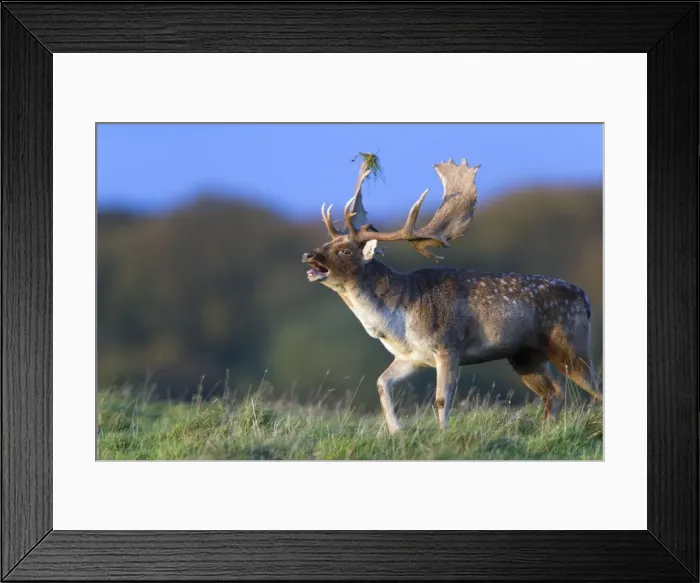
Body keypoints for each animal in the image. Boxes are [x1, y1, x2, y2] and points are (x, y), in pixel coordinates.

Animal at [301, 154, 602, 434]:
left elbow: (442, 398)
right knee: (555, 392)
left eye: (344, 250)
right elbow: (381, 383)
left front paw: (441, 435)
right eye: (326, 243)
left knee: (595, 388)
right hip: (526, 356)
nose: (309, 255)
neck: (398, 321)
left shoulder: (448, 345)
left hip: (571, 345)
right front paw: (396, 431)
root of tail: (585, 298)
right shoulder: (412, 357)